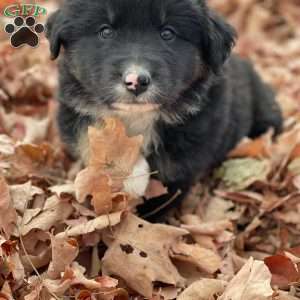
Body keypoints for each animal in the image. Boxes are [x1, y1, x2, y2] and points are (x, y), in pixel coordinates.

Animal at [45, 0, 282, 218]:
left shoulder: (196, 130)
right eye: (105, 31)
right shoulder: (72, 109)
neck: (136, 116)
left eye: (167, 33)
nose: (136, 81)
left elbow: (169, 175)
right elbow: (89, 139)